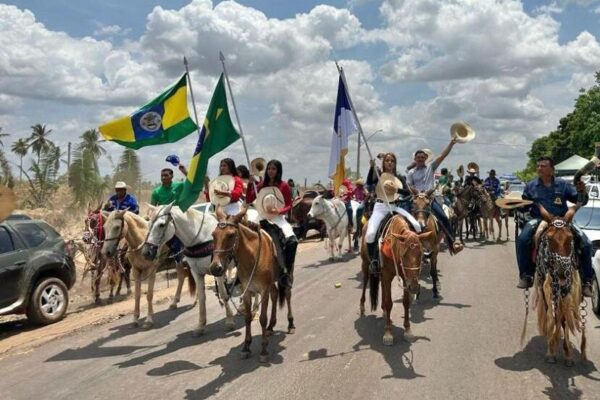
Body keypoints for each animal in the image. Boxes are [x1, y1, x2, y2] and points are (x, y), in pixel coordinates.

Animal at [142, 202, 236, 336]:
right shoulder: (196, 272)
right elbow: (202, 297)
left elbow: (223, 294)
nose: (146, 252)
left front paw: (229, 321)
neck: (200, 238)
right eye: (148, 224)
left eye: (161, 225)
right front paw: (200, 325)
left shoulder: (218, 270)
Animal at [211, 205, 296, 364]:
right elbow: (248, 318)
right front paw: (246, 346)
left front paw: (263, 350)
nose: (215, 268)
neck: (251, 256)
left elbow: (262, 318)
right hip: (271, 283)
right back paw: (271, 326)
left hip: (288, 273)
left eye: (231, 235)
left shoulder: (263, 290)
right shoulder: (248, 290)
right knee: (275, 294)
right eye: (213, 235)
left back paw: (290, 324)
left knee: (287, 294)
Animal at [360, 216, 432, 344]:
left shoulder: (405, 278)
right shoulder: (388, 275)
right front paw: (388, 333)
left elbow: (406, 302)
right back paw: (362, 307)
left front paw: (408, 330)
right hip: (366, 264)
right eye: (404, 256)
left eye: (421, 255)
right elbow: (389, 303)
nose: (414, 287)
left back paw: (384, 312)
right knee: (365, 281)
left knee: (382, 286)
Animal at [524, 206, 588, 366]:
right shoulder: (546, 287)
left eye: (570, 239)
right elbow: (551, 315)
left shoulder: (566, 289)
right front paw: (550, 352)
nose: (562, 274)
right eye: (549, 239)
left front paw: (568, 354)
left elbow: (564, 317)